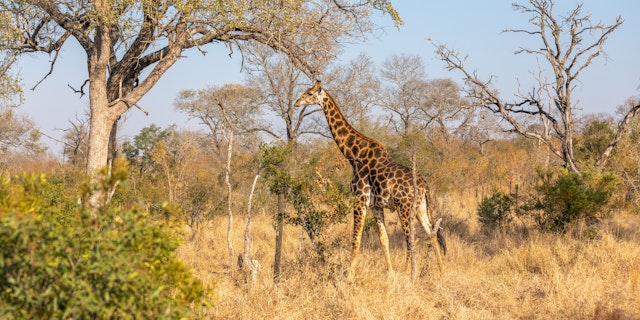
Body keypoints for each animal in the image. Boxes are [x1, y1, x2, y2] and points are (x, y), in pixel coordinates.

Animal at [294, 80, 444, 272]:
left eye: (310, 93)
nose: (296, 103)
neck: (353, 154)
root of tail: (424, 185)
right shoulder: (375, 205)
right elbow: (383, 240)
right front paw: (390, 273)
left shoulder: (359, 200)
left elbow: (355, 241)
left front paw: (349, 275)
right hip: (421, 208)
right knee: (432, 235)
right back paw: (441, 272)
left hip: (404, 207)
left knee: (412, 239)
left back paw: (408, 273)